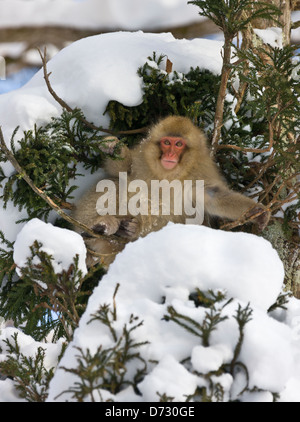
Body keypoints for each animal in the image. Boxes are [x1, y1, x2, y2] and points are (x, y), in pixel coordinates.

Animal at [74, 115, 270, 268]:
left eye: (179, 144)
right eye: (166, 142)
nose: (170, 155)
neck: (167, 175)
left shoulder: (199, 174)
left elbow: (213, 196)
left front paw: (257, 211)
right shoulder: (140, 159)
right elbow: (121, 173)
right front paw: (113, 147)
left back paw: (129, 230)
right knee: (115, 186)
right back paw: (100, 226)